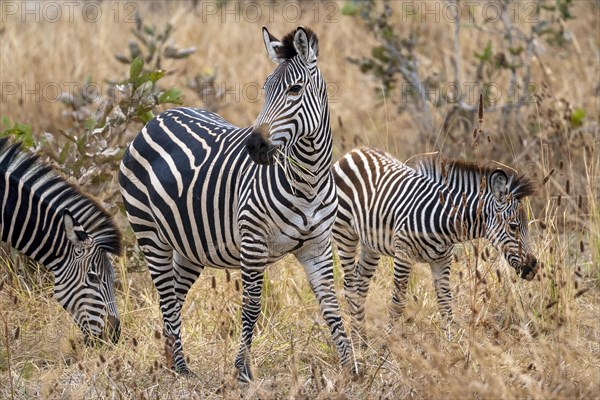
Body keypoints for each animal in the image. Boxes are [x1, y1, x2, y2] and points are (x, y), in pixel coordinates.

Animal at [119, 26, 356, 382]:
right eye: (265, 89)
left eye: (295, 89)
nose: (255, 145)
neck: (308, 181)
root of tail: (157, 117)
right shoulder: (253, 242)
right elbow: (252, 306)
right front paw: (242, 370)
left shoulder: (318, 245)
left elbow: (330, 304)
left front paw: (352, 367)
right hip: (149, 233)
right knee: (166, 296)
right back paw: (180, 368)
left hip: (190, 244)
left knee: (174, 295)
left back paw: (172, 360)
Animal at [332, 147, 540, 344]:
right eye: (513, 226)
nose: (532, 267)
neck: (445, 221)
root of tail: (355, 151)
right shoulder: (403, 255)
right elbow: (398, 303)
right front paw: (387, 344)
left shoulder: (442, 260)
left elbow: (446, 304)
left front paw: (453, 345)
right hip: (345, 234)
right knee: (350, 284)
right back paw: (356, 339)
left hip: (370, 244)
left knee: (361, 284)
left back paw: (361, 337)